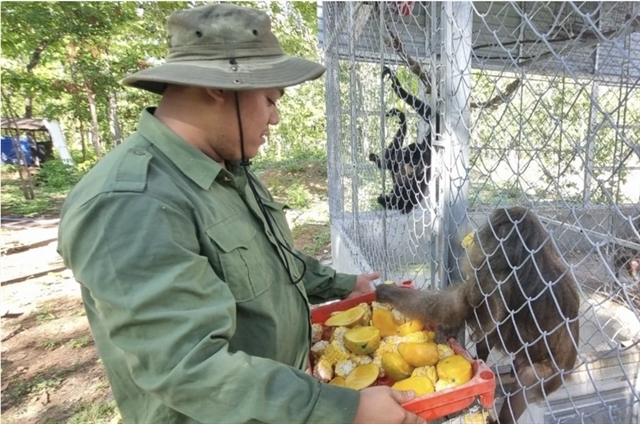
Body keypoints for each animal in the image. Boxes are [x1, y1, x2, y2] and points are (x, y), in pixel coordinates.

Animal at [376, 206, 580, 424]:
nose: (478, 235)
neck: (527, 255)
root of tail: (568, 368)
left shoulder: (492, 276)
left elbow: (458, 308)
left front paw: (389, 293)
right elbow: (482, 327)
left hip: (551, 375)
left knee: (527, 379)